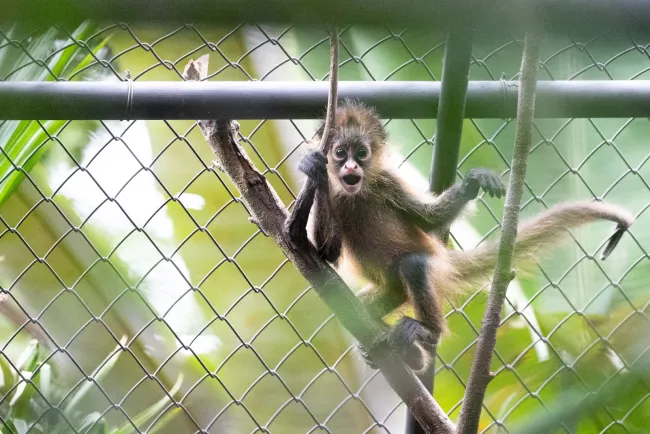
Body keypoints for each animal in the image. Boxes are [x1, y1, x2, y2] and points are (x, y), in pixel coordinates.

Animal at [288, 99, 634, 373]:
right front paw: (314, 169)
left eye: (360, 153)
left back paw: (428, 335)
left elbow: (429, 220)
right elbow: (326, 254)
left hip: (425, 270)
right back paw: (411, 356)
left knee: (414, 265)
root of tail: (445, 260)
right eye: (339, 153)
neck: (356, 194)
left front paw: (472, 184)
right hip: (390, 292)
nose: (349, 167)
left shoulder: (388, 182)